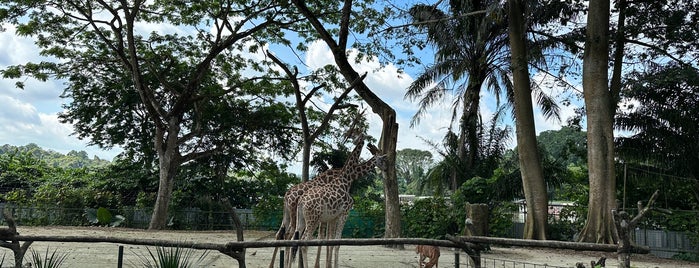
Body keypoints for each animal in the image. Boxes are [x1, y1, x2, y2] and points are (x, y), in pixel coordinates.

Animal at [268, 136, 366, 268]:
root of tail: (287, 196)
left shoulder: (329, 216)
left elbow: (326, 237)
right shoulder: (330, 215)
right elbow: (325, 236)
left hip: (288, 214)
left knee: (281, 234)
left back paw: (273, 265)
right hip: (299, 216)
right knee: (290, 235)